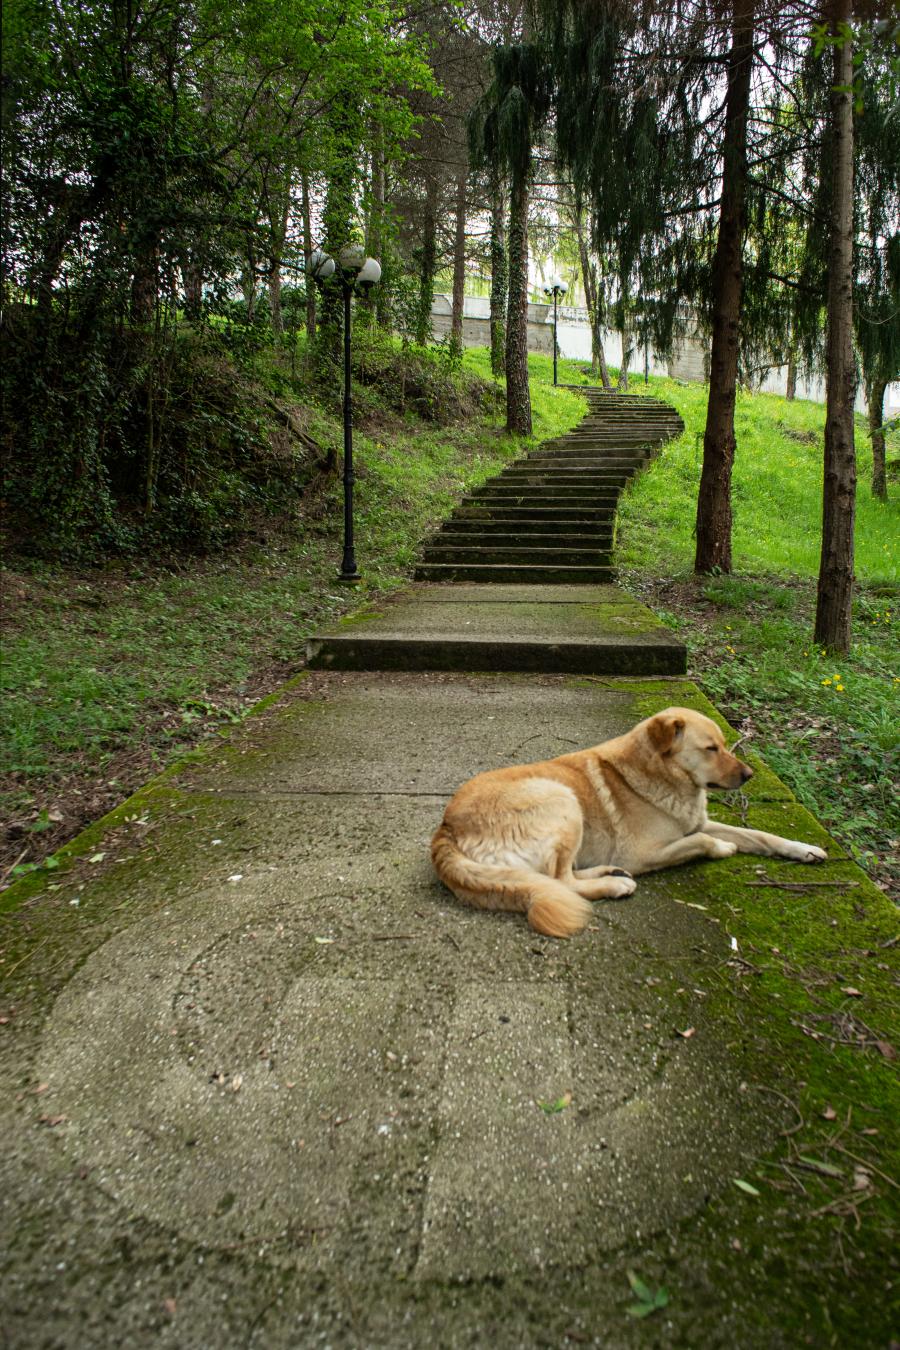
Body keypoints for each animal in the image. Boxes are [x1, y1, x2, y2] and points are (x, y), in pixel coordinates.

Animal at [431, 707, 825, 939]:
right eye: (711, 748)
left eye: (725, 745)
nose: (749, 775)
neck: (665, 776)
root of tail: (445, 830)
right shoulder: (644, 853)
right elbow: (704, 843)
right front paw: (722, 848)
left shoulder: (697, 823)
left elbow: (761, 835)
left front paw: (804, 849)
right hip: (562, 800)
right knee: (560, 881)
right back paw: (615, 884)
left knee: (560, 876)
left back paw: (609, 872)